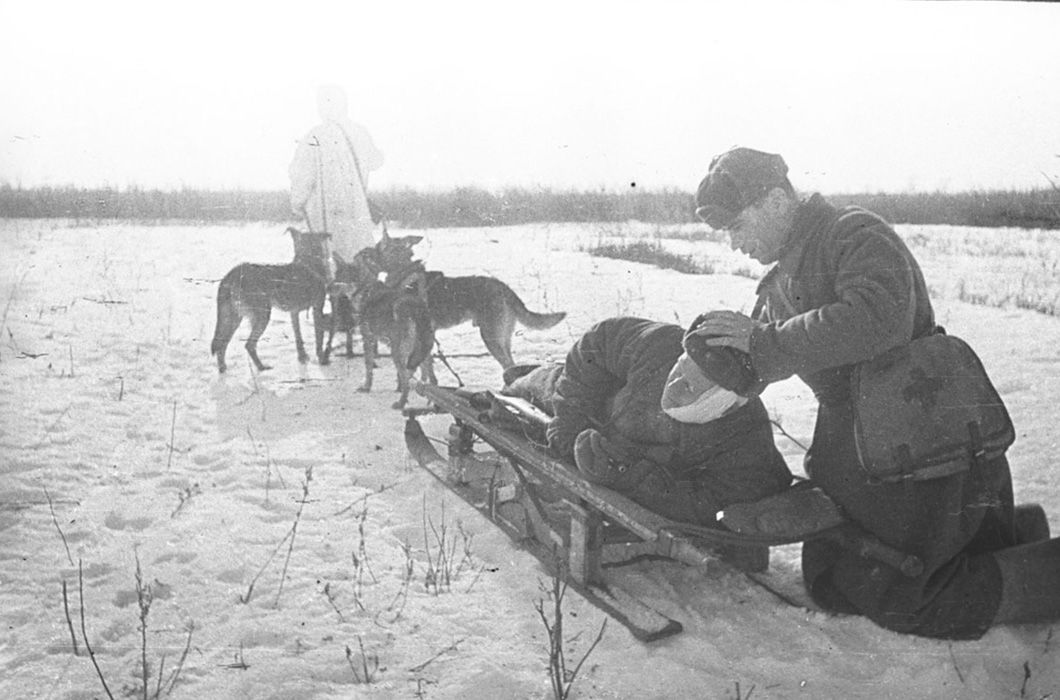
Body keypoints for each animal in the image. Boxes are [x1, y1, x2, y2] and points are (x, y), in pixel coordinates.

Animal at [210, 228, 330, 371]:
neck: (308, 262)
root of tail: (232, 273)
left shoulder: (294, 312)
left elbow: (298, 337)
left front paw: (302, 357)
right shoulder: (317, 308)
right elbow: (319, 338)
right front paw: (321, 359)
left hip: (234, 318)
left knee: (222, 344)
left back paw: (223, 369)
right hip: (262, 315)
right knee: (248, 345)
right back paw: (261, 367)